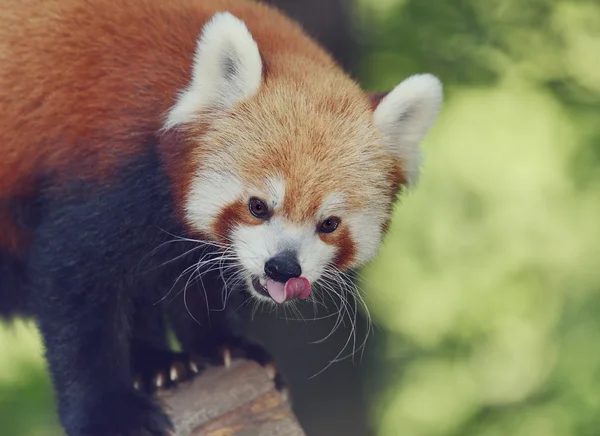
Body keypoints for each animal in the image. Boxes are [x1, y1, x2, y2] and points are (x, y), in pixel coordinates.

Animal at [0, 0, 440, 434]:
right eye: (258, 206)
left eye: (329, 223)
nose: (282, 268)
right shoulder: (106, 174)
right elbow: (76, 293)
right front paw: (109, 412)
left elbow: (191, 278)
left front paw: (222, 344)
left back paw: (158, 365)